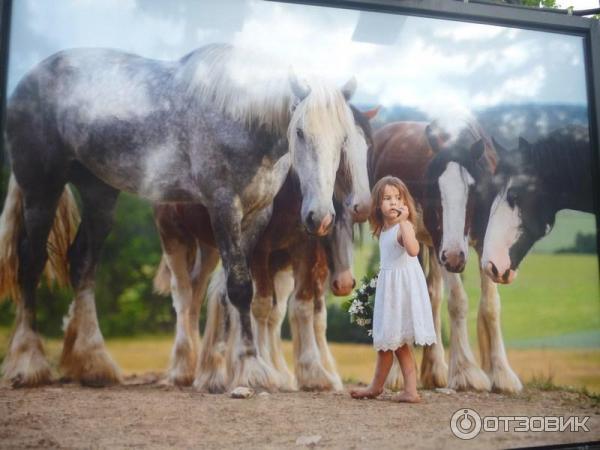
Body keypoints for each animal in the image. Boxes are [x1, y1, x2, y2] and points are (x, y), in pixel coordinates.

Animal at [152, 106, 376, 390]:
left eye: (365, 146)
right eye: (345, 147)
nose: (362, 204)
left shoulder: (301, 252)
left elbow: (302, 308)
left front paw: (314, 373)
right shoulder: (261, 252)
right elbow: (260, 306)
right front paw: (263, 371)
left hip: (211, 247)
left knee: (197, 293)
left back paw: (201, 370)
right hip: (173, 234)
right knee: (183, 295)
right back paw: (185, 370)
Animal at [368, 117, 524, 394]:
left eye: (473, 191)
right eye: (433, 189)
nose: (454, 257)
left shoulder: (481, 243)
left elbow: (490, 306)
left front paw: (501, 374)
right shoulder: (441, 246)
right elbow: (458, 301)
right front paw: (465, 372)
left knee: (431, 295)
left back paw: (435, 370)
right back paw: (398, 375)